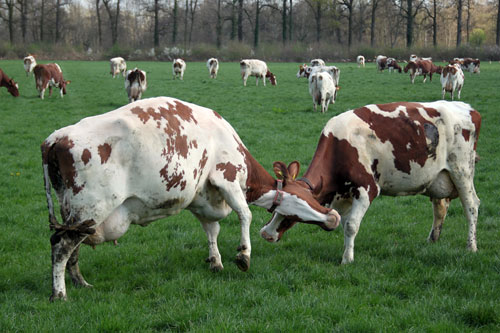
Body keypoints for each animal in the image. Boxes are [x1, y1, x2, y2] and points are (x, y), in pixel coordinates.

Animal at [260, 100, 482, 264]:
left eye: (292, 215)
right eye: (275, 208)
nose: (267, 234)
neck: (340, 146)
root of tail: (468, 108)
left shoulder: (367, 189)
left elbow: (351, 225)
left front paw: (347, 260)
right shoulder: (344, 197)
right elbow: (346, 224)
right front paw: (347, 251)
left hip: (462, 170)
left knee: (471, 205)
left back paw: (471, 246)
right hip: (437, 178)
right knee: (440, 208)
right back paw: (432, 240)